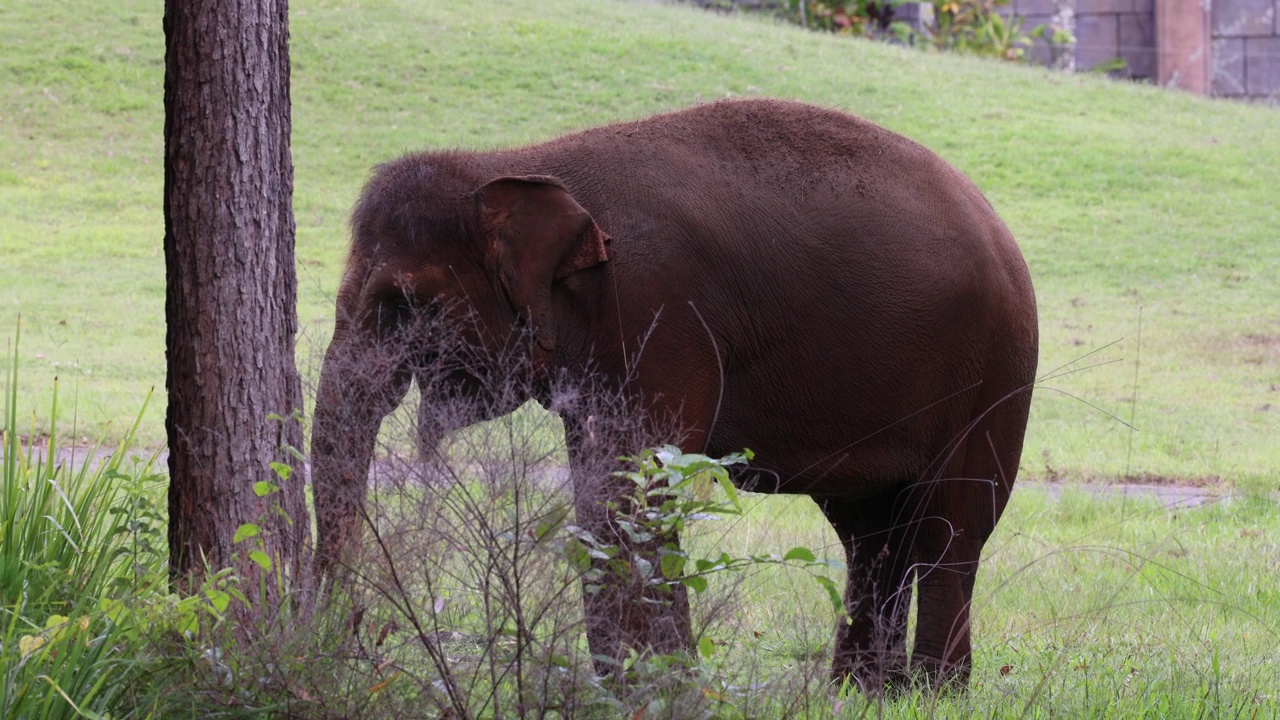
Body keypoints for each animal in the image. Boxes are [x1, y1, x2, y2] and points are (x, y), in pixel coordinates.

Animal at [312, 96, 1039, 691]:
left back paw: (936, 692)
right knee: (871, 534)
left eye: (402, 304)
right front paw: (626, 688)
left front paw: (662, 690)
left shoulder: (659, 308)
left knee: (951, 527)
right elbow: (602, 490)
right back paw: (860, 694)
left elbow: (632, 492)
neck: (521, 161)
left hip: (994, 373)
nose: (357, 639)